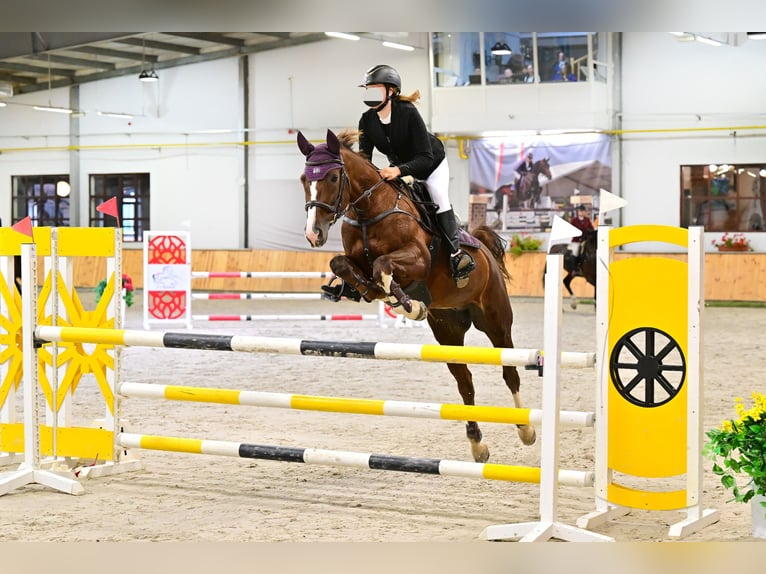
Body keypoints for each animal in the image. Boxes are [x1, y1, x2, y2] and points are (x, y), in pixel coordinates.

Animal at [296, 129, 536, 464]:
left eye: (332, 177)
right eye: (304, 178)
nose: (313, 234)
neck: (369, 212)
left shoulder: (418, 258)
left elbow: (384, 266)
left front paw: (407, 304)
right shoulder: (354, 260)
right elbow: (341, 264)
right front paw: (371, 291)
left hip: (496, 321)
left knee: (510, 372)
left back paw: (526, 430)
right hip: (448, 332)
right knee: (465, 383)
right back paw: (477, 444)